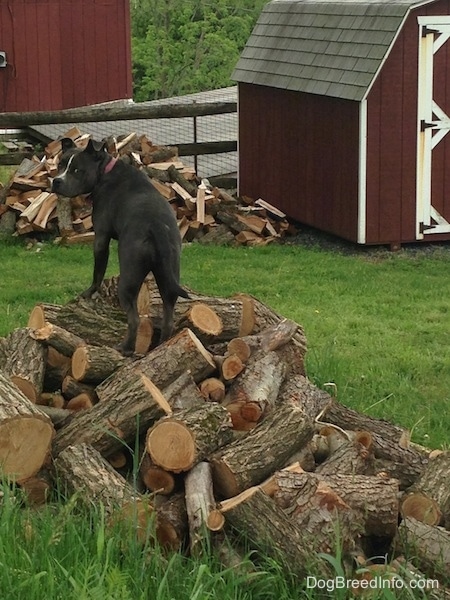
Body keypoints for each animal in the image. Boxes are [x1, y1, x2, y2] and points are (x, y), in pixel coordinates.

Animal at [51, 139, 188, 356]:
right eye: (60, 165)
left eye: (76, 170)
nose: (56, 181)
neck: (104, 171)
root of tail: (157, 228)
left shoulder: (101, 237)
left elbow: (98, 272)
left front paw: (88, 293)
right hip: (169, 275)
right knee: (168, 316)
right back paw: (161, 346)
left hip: (128, 278)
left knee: (134, 319)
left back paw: (125, 348)